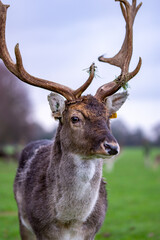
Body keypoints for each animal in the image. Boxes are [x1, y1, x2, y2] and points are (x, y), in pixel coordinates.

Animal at [0, 0, 142, 239]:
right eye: (75, 118)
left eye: (108, 117)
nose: (112, 147)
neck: (70, 223)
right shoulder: (39, 229)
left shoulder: (93, 231)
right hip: (22, 220)